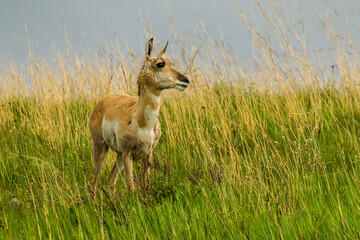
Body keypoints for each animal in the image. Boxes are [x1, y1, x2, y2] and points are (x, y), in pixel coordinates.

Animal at [89, 37, 190, 195]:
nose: (185, 80)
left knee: (110, 179)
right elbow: (131, 187)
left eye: (172, 63)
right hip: (100, 147)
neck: (141, 122)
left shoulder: (147, 153)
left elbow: (146, 183)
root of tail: (103, 100)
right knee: (95, 181)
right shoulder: (128, 154)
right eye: (160, 64)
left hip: (118, 155)